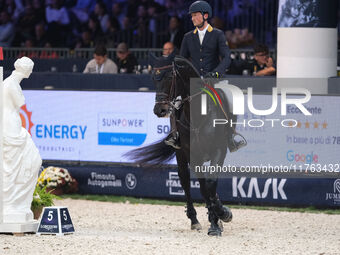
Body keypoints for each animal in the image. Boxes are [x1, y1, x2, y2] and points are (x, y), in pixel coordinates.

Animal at [126, 55, 232, 237]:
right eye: (153, 78)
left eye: (170, 77)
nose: (159, 110)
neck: (198, 115)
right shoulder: (192, 155)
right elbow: (204, 187)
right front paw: (215, 220)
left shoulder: (219, 150)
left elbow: (211, 183)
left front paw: (222, 215)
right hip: (181, 156)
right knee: (185, 182)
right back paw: (195, 220)